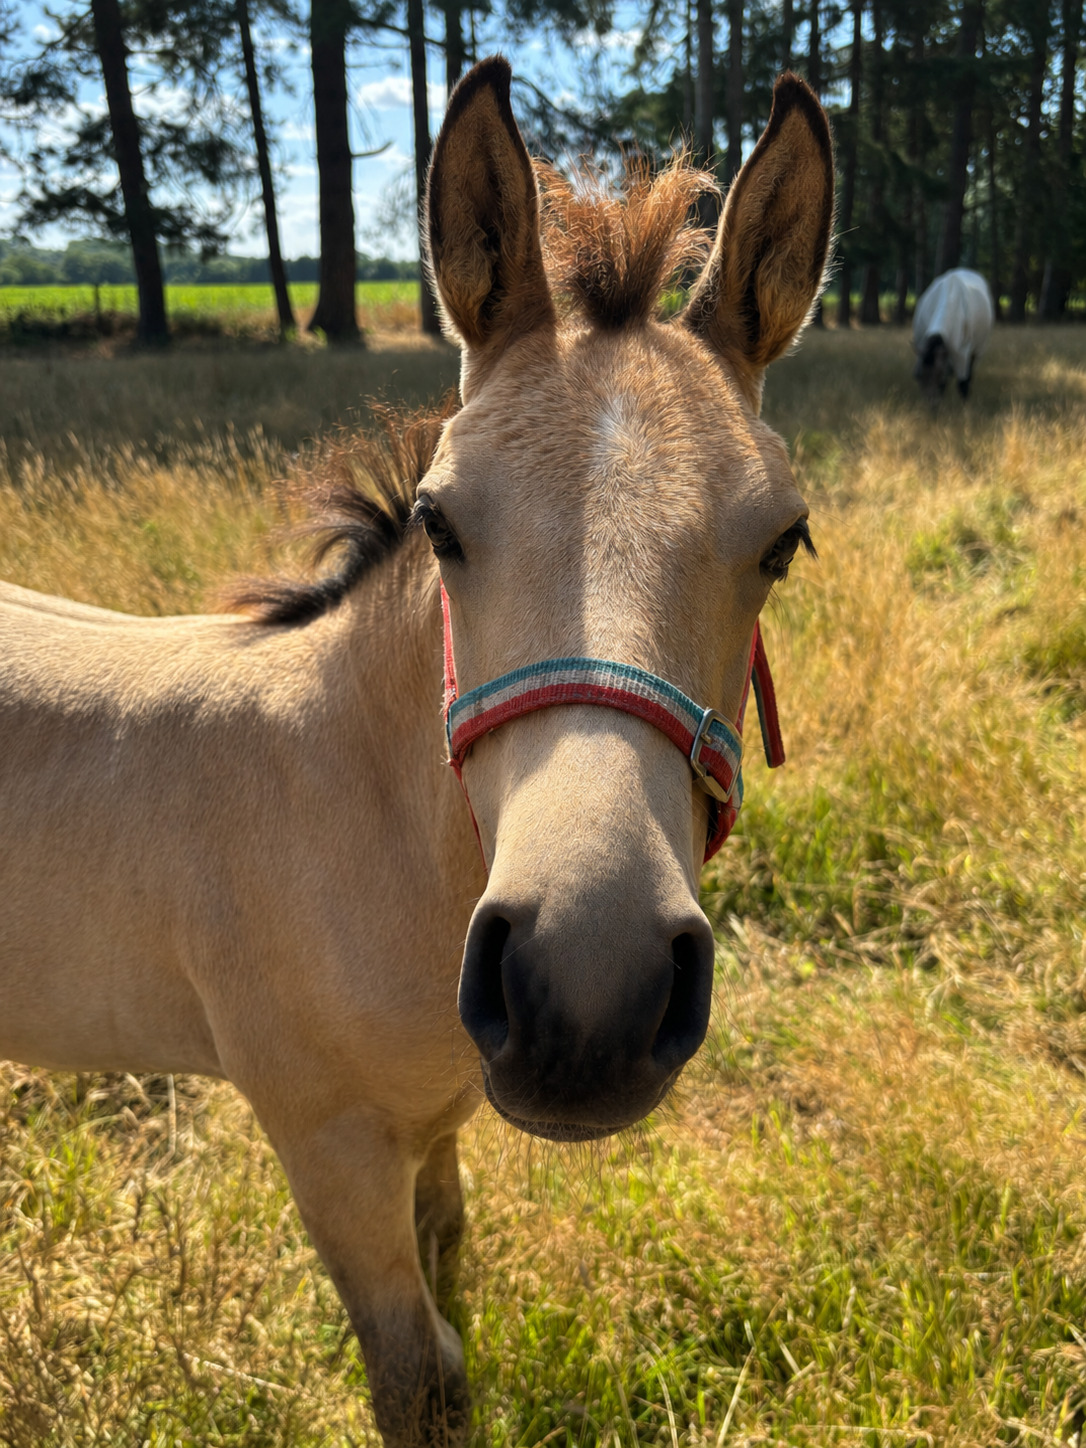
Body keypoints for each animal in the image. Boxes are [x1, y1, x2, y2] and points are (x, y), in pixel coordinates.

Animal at [0, 59, 833, 1447]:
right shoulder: (328, 1145)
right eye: (441, 522)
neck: (359, 824)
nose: (587, 990)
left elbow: (455, 1269)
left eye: (784, 541)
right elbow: (418, 1371)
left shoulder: (439, 1120)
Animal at [912, 267, 994, 402]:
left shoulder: (962, 352)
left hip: (978, 350)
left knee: (970, 372)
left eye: (938, 375)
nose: (931, 403)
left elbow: (963, 382)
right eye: (917, 376)